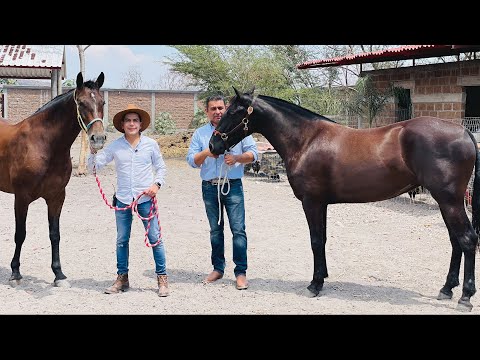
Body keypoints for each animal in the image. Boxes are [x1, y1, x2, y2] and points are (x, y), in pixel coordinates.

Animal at [0, 72, 106, 286]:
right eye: (81, 103)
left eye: (103, 102)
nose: (98, 139)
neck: (44, 144)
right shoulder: (21, 198)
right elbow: (20, 234)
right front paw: (15, 272)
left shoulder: (57, 197)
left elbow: (54, 234)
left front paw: (58, 273)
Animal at [210, 87, 480, 310]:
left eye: (233, 112)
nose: (213, 145)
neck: (307, 140)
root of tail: (464, 131)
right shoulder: (322, 204)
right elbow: (322, 240)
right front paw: (322, 278)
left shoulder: (312, 202)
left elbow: (315, 241)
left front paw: (314, 285)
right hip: (446, 202)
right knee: (455, 241)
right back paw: (446, 289)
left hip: (449, 201)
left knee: (467, 240)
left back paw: (465, 297)